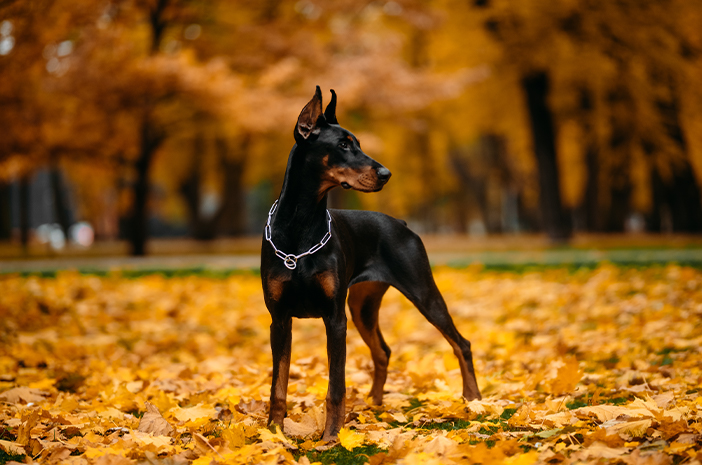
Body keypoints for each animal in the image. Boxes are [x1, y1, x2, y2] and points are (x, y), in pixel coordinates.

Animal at [262, 86, 482, 438]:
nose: (386, 174)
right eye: (342, 145)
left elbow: (336, 388)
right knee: (382, 351)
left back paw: (473, 399)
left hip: (422, 292)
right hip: (362, 307)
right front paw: (273, 434)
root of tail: (402, 224)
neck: (300, 227)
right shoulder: (279, 319)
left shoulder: (335, 318)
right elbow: (277, 386)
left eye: (359, 143)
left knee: (461, 343)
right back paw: (375, 405)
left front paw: (331, 437)